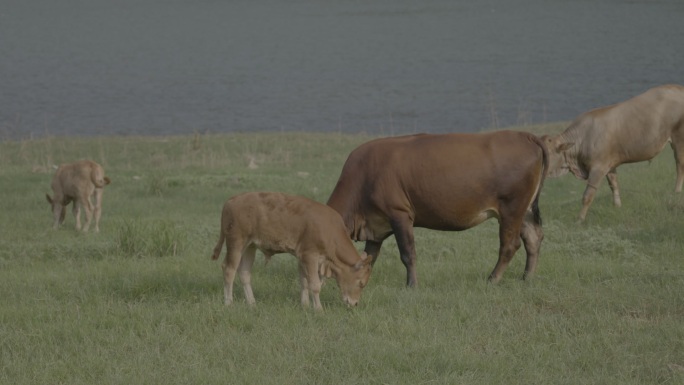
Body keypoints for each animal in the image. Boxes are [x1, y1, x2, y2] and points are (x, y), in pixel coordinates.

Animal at [211, 190, 372, 310]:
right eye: (361, 283)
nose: (354, 303)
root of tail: (232, 200)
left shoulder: (302, 257)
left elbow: (304, 282)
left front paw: (305, 305)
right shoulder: (310, 256)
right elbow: (314, 284)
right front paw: (318, 309)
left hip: (250, 246)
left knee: (244, 273)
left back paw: (252, 303)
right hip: (236, 244)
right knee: (229, 269)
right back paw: (229, 302)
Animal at [328, 130, 552, 286]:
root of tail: (525, 135)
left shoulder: (399, 213)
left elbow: (408, 253)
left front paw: (412, 285)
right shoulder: (375, 224)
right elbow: (370, 257)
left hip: (511, 207)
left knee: (510, 244)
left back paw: (493, 279)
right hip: (525, 209)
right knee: (533, 238)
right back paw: (527, 278)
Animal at [540, 85, 684, 220]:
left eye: (547, 154)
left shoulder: (598, 167)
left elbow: (588, 194)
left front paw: (580, 219)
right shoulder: (610, 164)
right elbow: (614, 184)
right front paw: (617, 206)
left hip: (678, 137)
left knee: (679, 165)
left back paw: (676, 191)